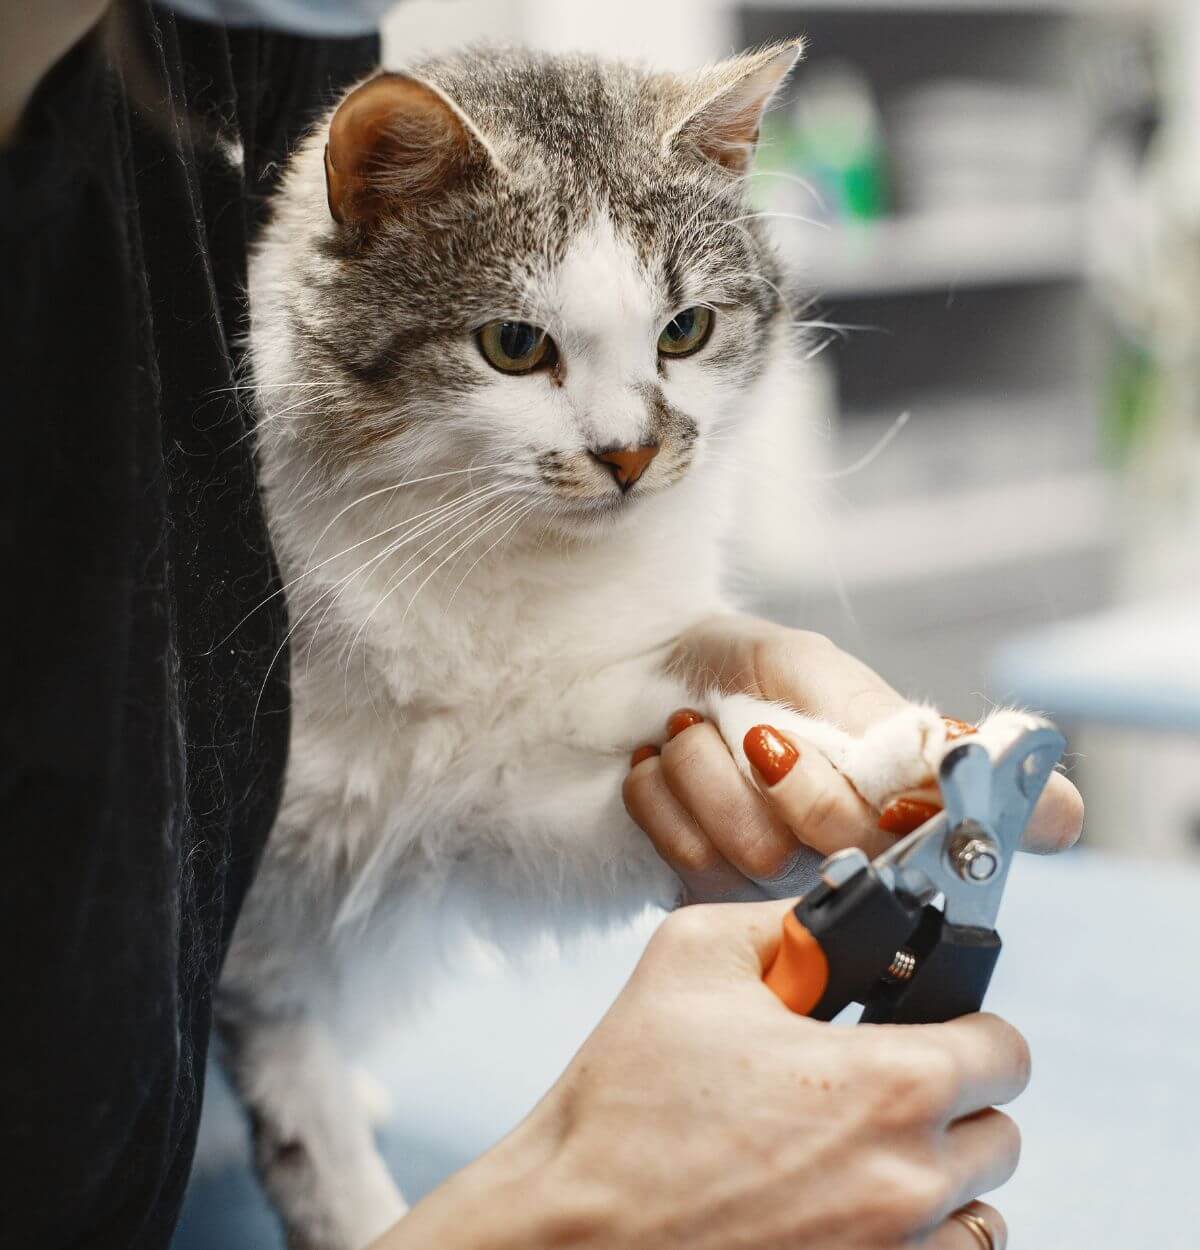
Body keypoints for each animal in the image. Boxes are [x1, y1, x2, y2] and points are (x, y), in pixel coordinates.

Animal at [220, 44, 1045, 1250]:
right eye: (514, 346)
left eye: (685, 329)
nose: (631, 454)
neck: (495, 574)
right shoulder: (268, 915)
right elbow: (304, 1101)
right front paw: (355, 1200)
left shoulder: (494, 802)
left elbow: (696, 739)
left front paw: (883, 759)